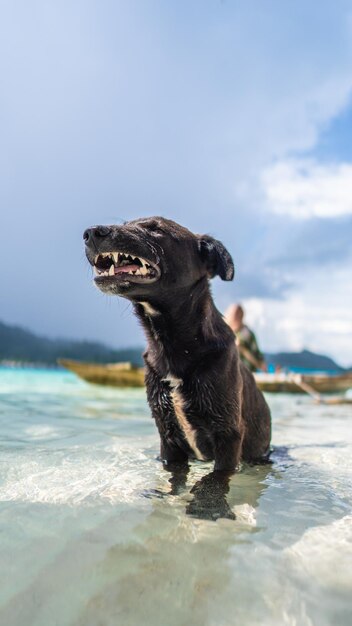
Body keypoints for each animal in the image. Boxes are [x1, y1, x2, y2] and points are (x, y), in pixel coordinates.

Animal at [84, 217, 270, 516]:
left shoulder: (228, 435)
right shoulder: (168, 438)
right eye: (127, 223)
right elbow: (175, 476)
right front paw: (169, 496)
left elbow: (216, 477)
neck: (172, 346)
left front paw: (207, 503)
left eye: (155, 228)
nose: (90, 233)